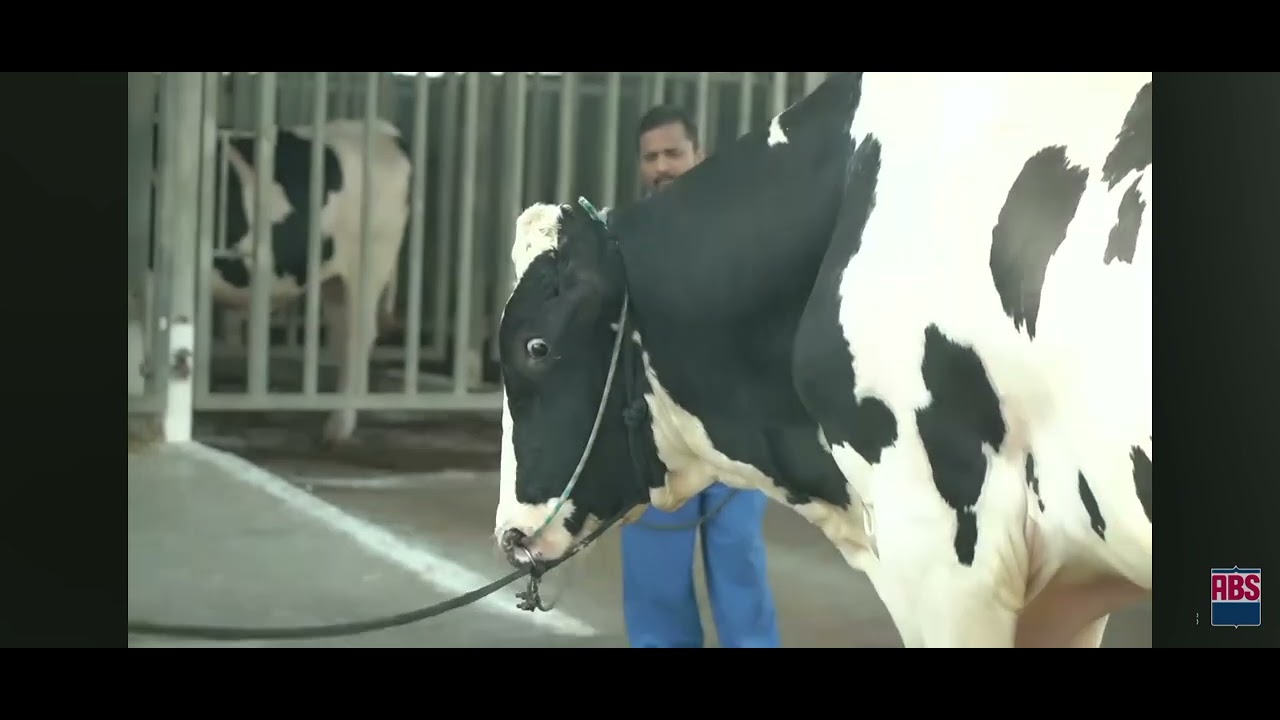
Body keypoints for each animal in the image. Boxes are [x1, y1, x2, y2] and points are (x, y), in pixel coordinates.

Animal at [131, 118, 412, 444]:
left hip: (370, 264)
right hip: (335, 281)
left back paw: (338, 426)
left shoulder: (150, 274)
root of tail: (382, 129)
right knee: (344, 335)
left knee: (359, 337)